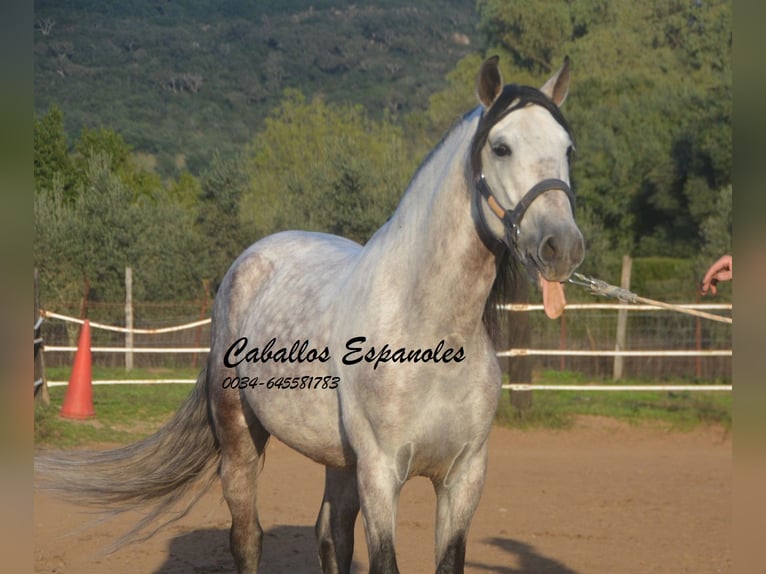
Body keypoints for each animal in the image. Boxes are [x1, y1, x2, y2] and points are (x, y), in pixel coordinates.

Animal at [36, 58, 584, 574]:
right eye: (501, 147)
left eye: (568, 148)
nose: (562, 247)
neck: (431, 333)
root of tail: (250, 260)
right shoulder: (381, 473)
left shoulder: (463, 477)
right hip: (241, 441)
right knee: (248, 537)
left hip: (339, 461)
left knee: (330, 534)